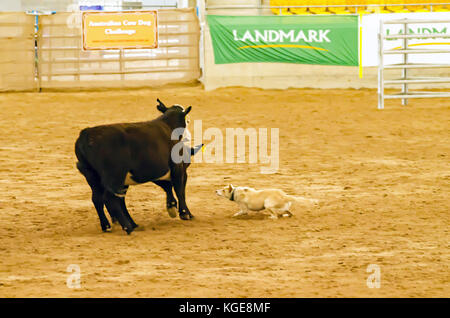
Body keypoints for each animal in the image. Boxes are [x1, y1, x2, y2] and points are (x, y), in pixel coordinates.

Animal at [75, 98, 202, 235]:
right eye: (187, 120)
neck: (168, 127)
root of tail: (87, 133)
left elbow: (168, 187)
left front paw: (172, 207)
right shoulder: (177, 168)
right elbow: (180, 190)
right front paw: (185, 214)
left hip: (94, 177)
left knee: (98, 199)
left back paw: (108, 226)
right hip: (115, 175)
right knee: (109, 199)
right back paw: (127, 227)